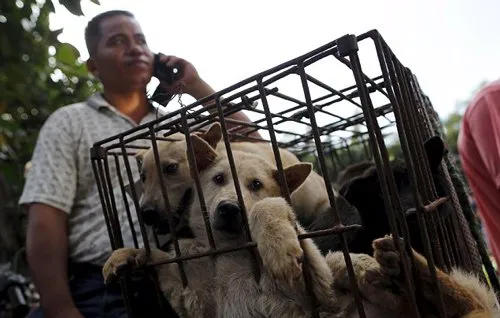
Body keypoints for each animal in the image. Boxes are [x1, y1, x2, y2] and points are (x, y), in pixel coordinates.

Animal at [91, 30, 500, 318]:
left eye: (172, 169)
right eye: (140, 177)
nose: (146, 213)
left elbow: (270, 211)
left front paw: (278, 245)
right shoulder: (192, 290)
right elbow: (160, 260)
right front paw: (126, 256)